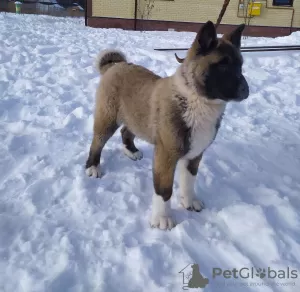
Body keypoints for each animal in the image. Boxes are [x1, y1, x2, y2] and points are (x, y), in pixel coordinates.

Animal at [84, 20, 248, 230]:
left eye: (240, 65)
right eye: (222, 65)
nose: (246, 90)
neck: (196, 100)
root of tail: (115, 65)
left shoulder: (195, 154)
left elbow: (189, 180)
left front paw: (189, 201)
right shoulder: (166, 155)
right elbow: (164, 189)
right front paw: (162, 218)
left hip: (136, 115)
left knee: (126, 131)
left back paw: (131, 151)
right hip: (108, 117)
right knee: (97, 142)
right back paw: (93, 167)